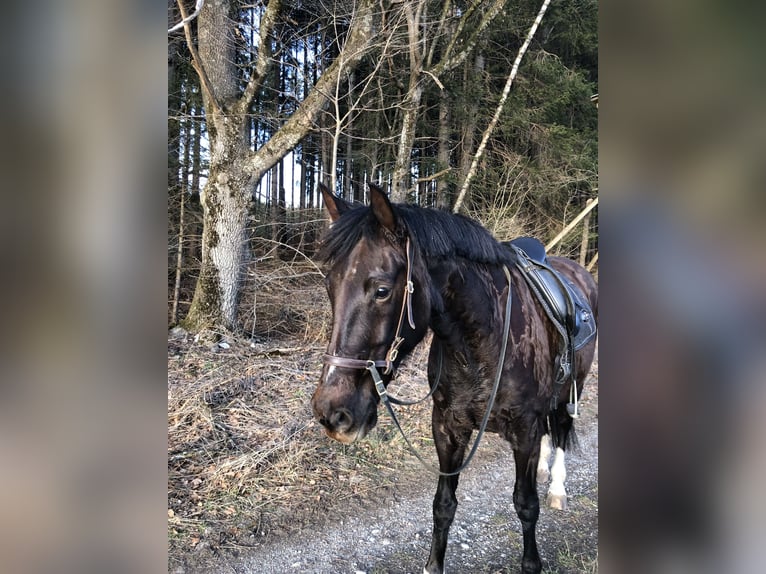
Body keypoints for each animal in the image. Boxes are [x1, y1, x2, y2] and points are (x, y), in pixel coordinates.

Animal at [312, 186, 600, 574]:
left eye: (382, 290)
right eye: (330, 286)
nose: (333, 412)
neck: (480, 343)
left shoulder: (524, 429)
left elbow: (526, 505)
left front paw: (531, 561)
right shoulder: (447, 427)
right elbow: (443, 505)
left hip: (572, 390)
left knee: (560, 433)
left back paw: (556, 488)